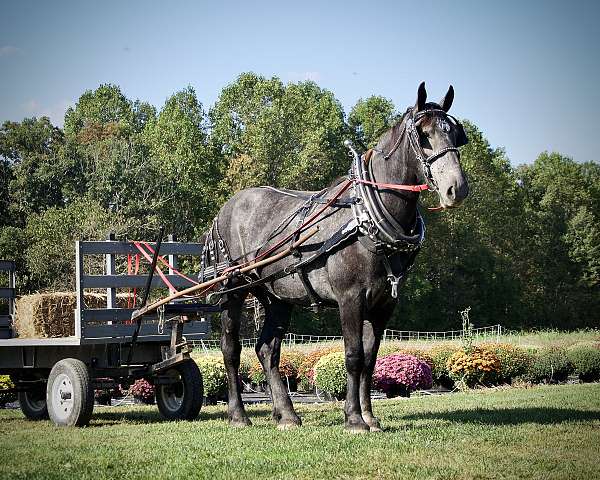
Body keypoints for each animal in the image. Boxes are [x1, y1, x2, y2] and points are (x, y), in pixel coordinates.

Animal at [204, 82, 472, 432]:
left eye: (455, 134)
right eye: (424, 134)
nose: (457, 188)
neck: (366, 217)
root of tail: (225, 209)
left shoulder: (384, 304)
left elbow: (371, 359)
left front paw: (370, 417)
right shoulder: (350, 297)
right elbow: (354, 356)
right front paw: (354, 419)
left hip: (277, 296)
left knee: (267, 350)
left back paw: (286, 414)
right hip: (233, 288)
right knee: (231, 349)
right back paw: (238, 415)